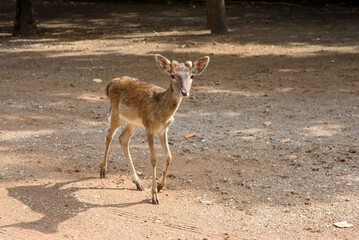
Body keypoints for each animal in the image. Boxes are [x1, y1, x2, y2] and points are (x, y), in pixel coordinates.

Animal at [100, 54, 210, 204]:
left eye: (192, 75)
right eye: (172, 75)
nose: (184, 92)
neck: (161, 112)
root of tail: (109, 84)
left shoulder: (163, 129)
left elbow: (169, 156)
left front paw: (159, 186)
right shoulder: (149, 126)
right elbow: (154, 158)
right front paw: (154, 195)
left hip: (133, 122)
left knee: (123, 138)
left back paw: (138, 182)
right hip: (116, 113)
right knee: (109, 135)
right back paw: (103, 170)